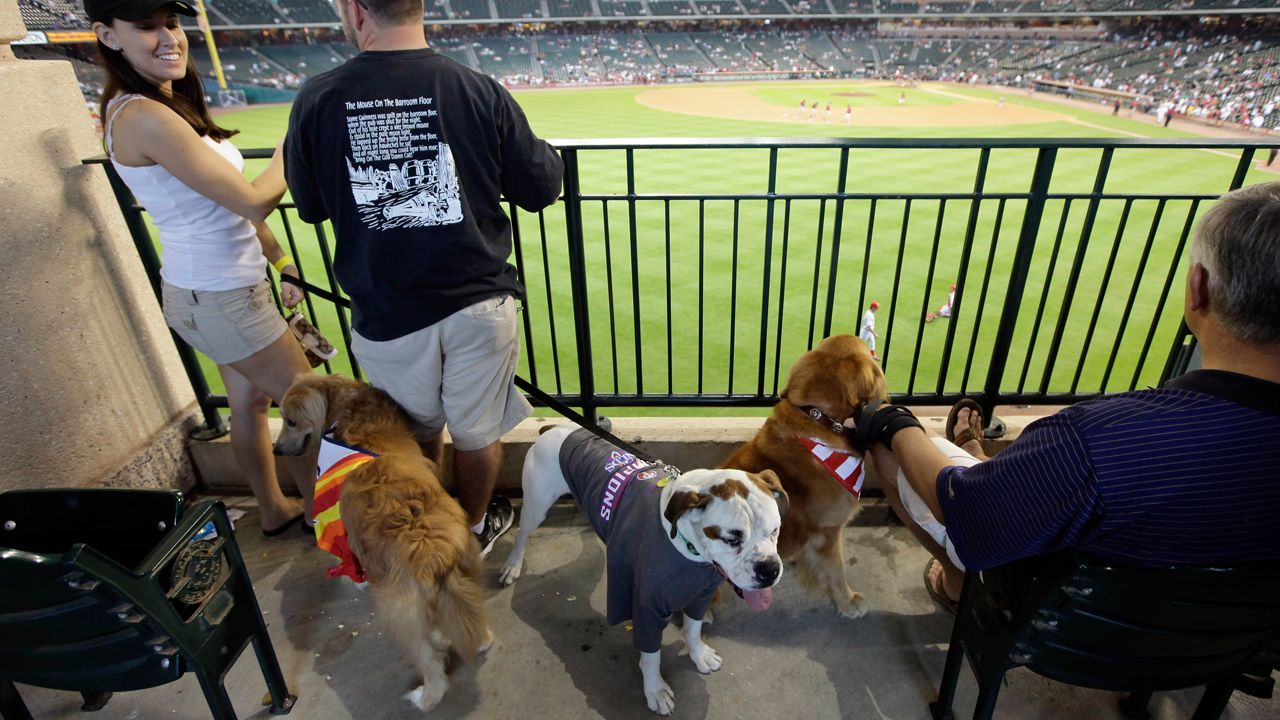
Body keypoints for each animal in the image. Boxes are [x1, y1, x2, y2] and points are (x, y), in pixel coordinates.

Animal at [272, 374, 491, 713]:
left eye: (290, 421)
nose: (276, 450)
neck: (350, 409)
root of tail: (431, 554)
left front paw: (355, 579)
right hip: (467, 570)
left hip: (400, 614)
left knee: (430, 661)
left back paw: (425, 697)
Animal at [500, 425, 787, 715]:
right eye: (731, 540)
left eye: (775, 530)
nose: (769, 569)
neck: (689, 549)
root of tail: (556, 427)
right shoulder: (646, 607)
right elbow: (651, 655)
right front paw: (655, 689)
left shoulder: (700, 594)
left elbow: (692, 629)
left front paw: (698, 654)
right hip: (537, 505)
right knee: (522, 533)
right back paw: (512, 565)